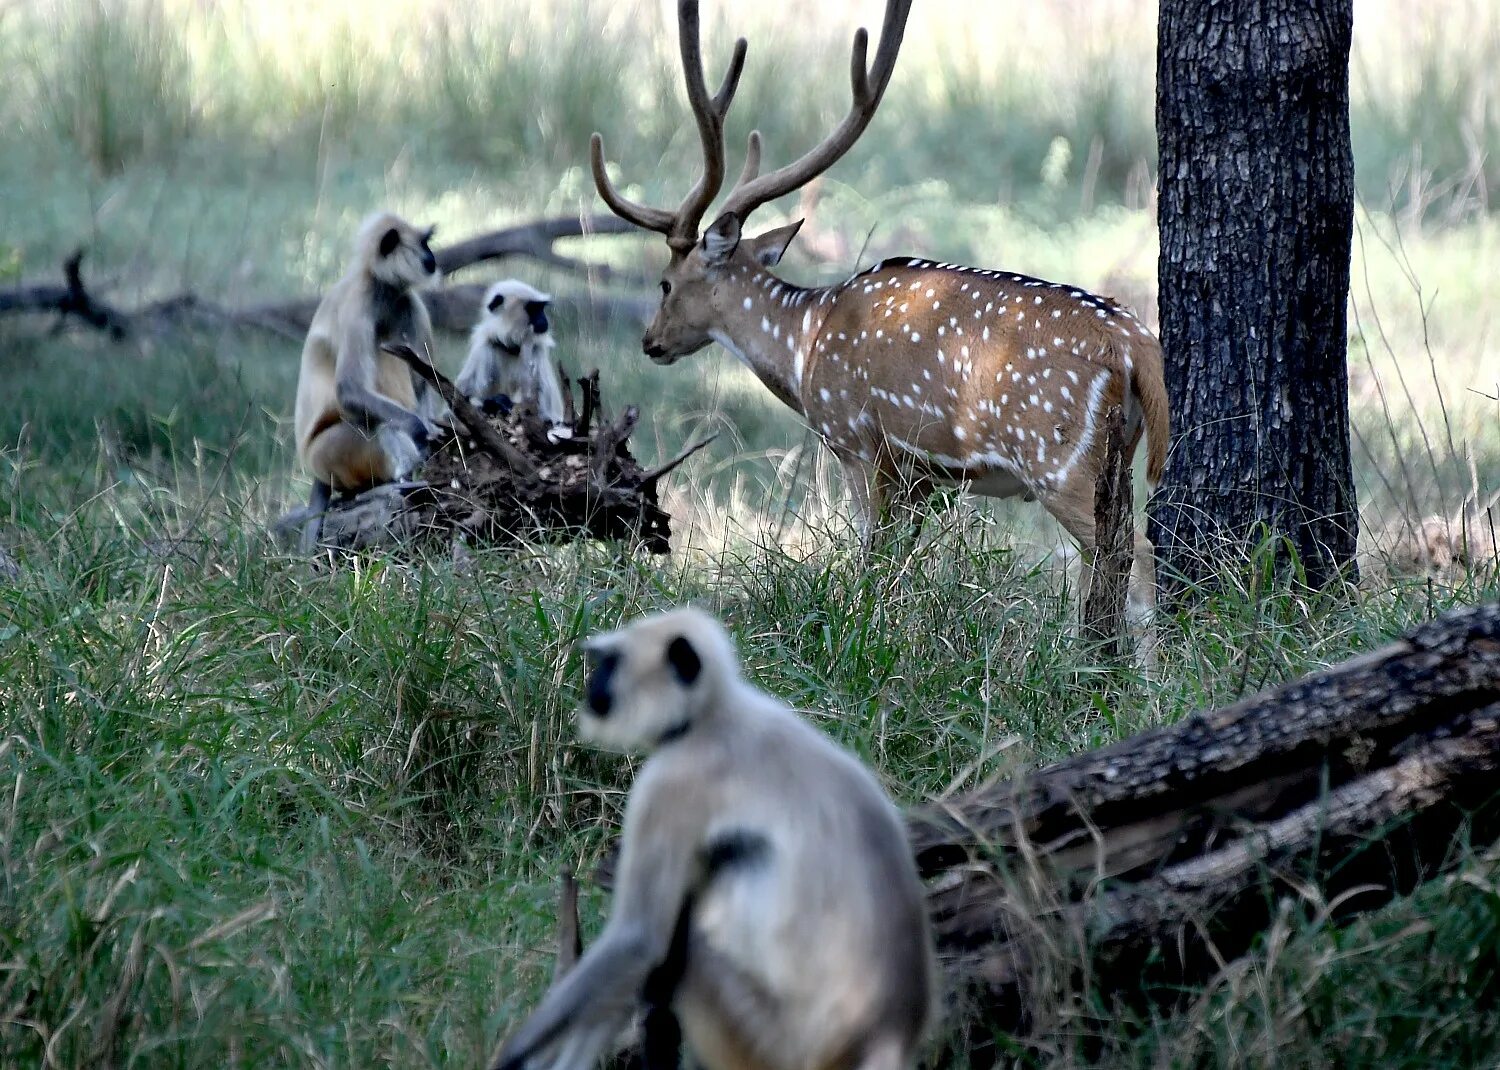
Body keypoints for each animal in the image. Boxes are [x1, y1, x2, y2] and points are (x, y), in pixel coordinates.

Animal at [292, 214, 444, 555]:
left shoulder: (407, 302)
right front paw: (421, 433)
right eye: (424, 243)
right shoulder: (358, 305)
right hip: (330, 454)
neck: (380, 286)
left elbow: (422, 383)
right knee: (380, 422)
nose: (432, 258)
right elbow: (350, 391)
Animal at [453, 279, 564, 429]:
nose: (544, 319)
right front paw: (494, 404)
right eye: (533, 308)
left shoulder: (536, 352)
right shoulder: (484, 347)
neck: (511, 347)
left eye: (541, 308)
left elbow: (548, 416)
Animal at [498, 609, 930, 1068]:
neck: (714, 716)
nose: (591, 689)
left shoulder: (670, 784)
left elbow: (638, 939)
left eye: (611, 663)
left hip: (771, 1041)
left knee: (684, 942)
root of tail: (887, 1035)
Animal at [591, 0, 1164, 600]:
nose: (651, 341)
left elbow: (870, 554)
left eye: (665, 282)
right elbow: (899, 561)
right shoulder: (921, 477)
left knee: (1135, 555)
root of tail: (1134, 343)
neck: (806, 342)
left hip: (1057, 457)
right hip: (1118, 455)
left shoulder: (856, 439)